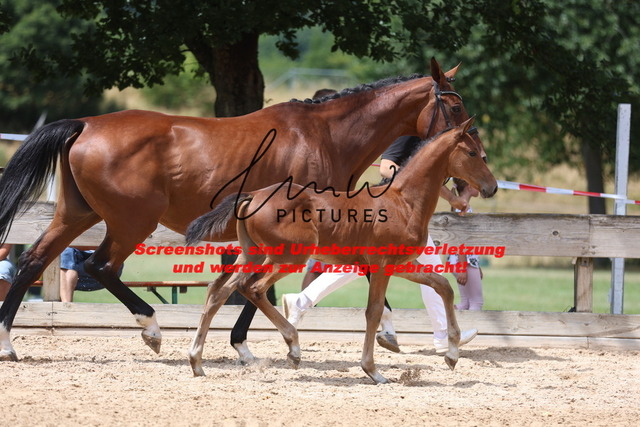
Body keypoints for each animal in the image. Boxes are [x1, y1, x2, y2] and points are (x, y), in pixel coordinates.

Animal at [0, 58, 481, 362]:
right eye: (456, 106)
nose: (470, 178)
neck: (325, 136)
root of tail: (84, 124)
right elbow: (260, 288)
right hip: (131, 221)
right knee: (99, 266)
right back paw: (151, 328)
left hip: (77, 214)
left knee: (33, 261)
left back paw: (8, 344)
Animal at [185, 117, 497, 384]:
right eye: (472, 153)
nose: (492, 188)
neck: (404, 202)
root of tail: (252, 195)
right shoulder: (381, 266)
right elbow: (373, 311)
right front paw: (373, 371)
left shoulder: (402, 264)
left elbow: (443, 286)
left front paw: (452, 354)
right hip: (288, 257)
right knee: (254, 289)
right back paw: (293, 347)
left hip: (253, 254)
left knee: (218, 291)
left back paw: (197, 362)